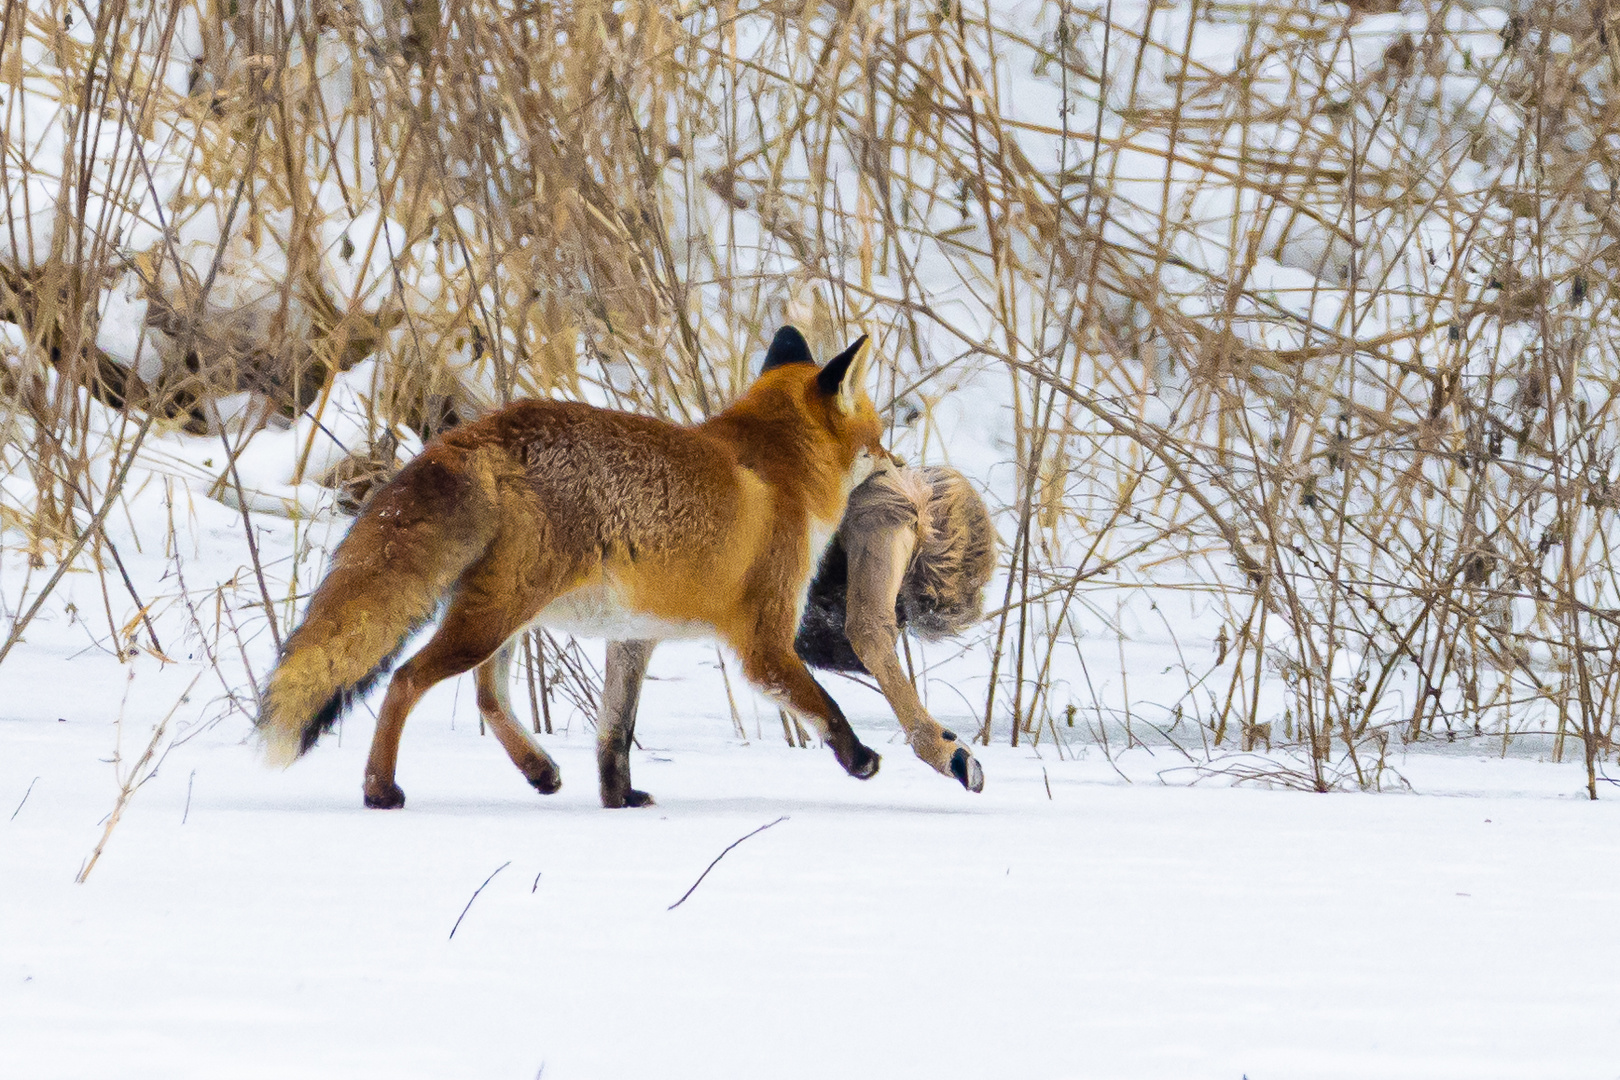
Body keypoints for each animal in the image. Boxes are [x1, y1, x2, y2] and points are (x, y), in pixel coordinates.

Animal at [257, 325, 887, 806]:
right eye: (879, 438)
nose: (896, 461)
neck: (783, 469)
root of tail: (484, 430)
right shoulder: (763, 641)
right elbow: (824, 705)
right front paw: (859, 758)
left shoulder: (633, 637)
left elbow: (615, 733)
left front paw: (619, 801)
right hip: (496, 616)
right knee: (407, 679)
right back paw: (380, 789)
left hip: (504, 613)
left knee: (488, 695)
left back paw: (538, 769)